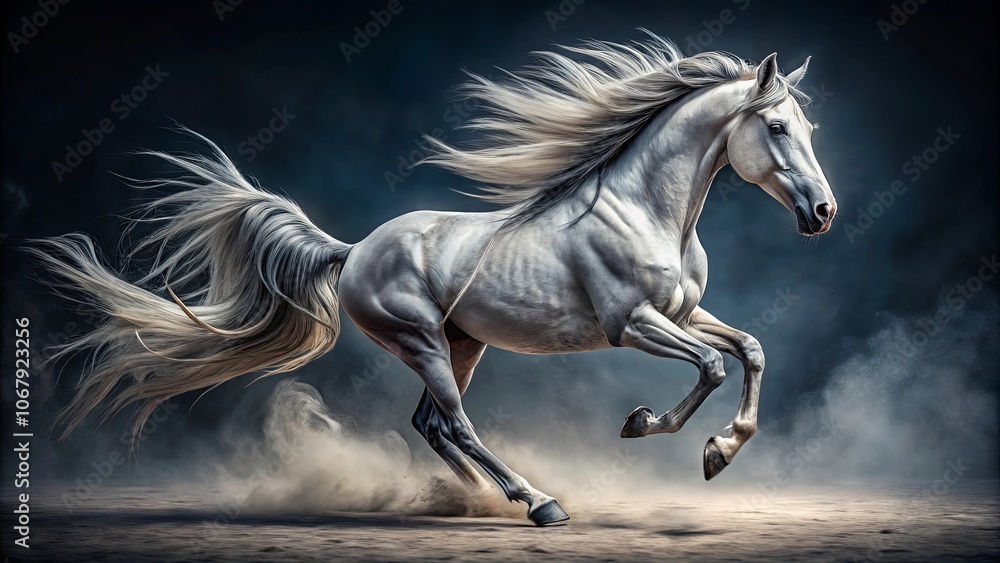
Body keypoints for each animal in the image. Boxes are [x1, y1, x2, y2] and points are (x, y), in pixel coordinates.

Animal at [29, 33, 836, 526]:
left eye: (807, 128)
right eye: (777, 128)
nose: (824, 213)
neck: (645, 210)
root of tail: (353, 248)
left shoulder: (686, 312)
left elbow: (750, 349)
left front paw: (720, 449)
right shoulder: (631, 323)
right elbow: (709, 367)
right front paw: (654, 429)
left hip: (461, 343)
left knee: (432, 424)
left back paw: (477, 495)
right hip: (421, 339)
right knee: (456, 422)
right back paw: (539, 502)